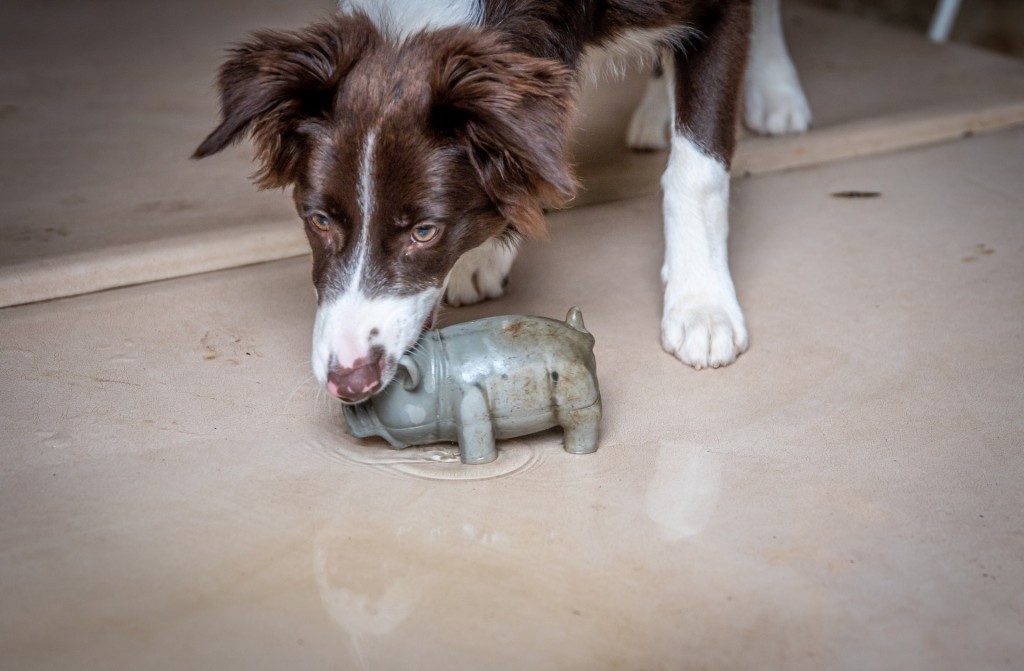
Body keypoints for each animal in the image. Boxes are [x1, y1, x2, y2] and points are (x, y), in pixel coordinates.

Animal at [197, 0, 806, 403]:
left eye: (425, 231)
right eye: (319, 220)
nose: (347, 382)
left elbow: (696, 169)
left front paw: (702, 305)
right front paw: (483, 255)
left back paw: (774, 89)